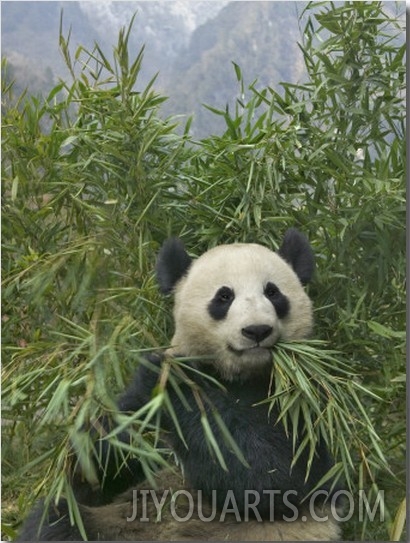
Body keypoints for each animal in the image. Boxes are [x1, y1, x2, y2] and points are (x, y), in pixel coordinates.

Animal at [16, 228, 342, 540]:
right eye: (224, 297)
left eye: (273, 292)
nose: (257, 330)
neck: (235, 374)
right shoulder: (137, 405)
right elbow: (92, 471)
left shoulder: (303, 397)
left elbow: (273, 475)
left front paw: (174, 383)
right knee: (59, 520)